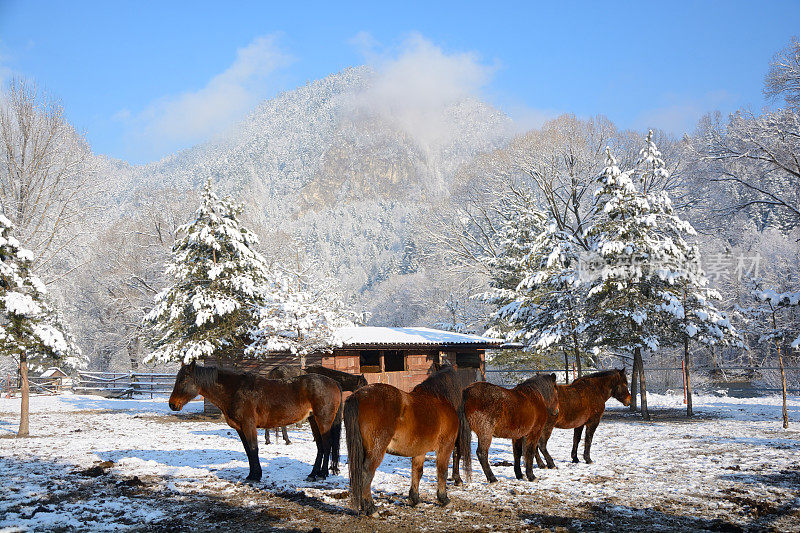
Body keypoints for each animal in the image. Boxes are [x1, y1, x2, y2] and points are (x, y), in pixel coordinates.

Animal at [167, 362, 342, 482]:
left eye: (183, 381)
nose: (172, 404)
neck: (235, 390)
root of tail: (334, 382)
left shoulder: (249, 425)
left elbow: (253, 449)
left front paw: (256, 476)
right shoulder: (240, 428)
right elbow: (247, 450)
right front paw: (251, 474)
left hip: (323, 420)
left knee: (327, 444)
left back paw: (323, 474)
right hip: (313, 420)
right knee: (320, 446)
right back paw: (313, 474)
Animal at [342, 366, 468, 516]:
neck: (440, 399)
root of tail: (358, 395)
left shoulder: (420, 451)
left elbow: (417, 472)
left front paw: (415, 499)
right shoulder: (445, 447)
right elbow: (442, 472)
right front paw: (444, 499)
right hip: (376, 451)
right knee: (366, 474)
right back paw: (371, 508)